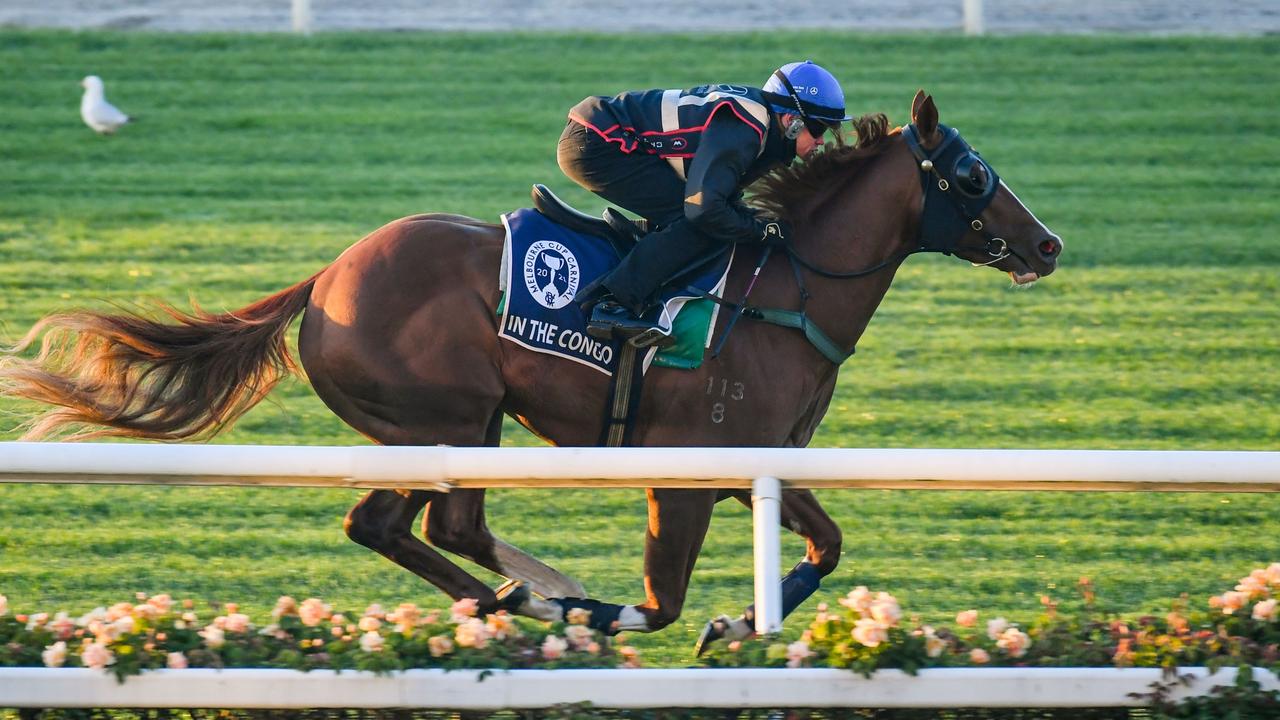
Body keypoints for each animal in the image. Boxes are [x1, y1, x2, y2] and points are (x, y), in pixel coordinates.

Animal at [0, 90, 1059, 645]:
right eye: (972, 174)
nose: (1047, 245)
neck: (783, 291)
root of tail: (326, 279)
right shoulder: (681, 476)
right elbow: (660, 604)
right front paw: (630, 613)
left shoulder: (750, 462)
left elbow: (827, 544)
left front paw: (739, 622)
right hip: (439, 417)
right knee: (398, 523)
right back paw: (537, 596)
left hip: (466, 422)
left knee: (439, 527)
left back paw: (527, 590)